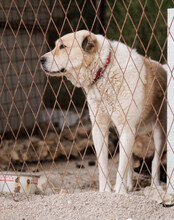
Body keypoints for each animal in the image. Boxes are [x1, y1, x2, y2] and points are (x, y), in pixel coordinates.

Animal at [40, 30, 167, 193]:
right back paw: (129, 185)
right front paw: (105, 191)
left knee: (155, 160)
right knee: (130, 161)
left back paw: (155, 186)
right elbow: (103, 165)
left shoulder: (126, 128)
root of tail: (163, 67)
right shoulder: (99, 128)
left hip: (159, 132)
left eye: (62, 46)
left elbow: (121, 167)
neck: (104, 71)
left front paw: (119, 192)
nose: (41, 59)